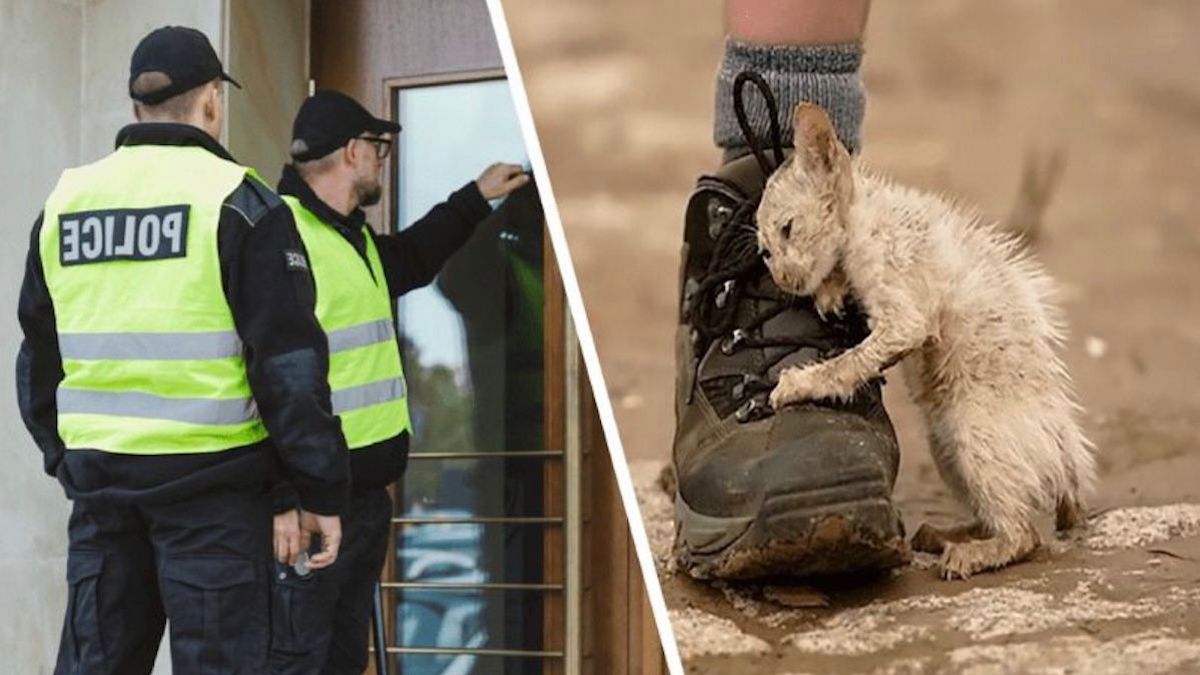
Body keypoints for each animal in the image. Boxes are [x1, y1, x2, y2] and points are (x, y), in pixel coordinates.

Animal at [758, 103, 1099, 578]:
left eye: (788, 229)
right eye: (764, 252)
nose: (784, 280)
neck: (867, 217)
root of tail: (1068, 462)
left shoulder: (905, 313)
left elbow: (850, 362)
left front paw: (798, 384)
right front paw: (831, 291)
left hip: (974, 433)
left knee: (1024, 533)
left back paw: (970, 553)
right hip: (946, 447)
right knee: (1002, 516)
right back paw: (944, 535)